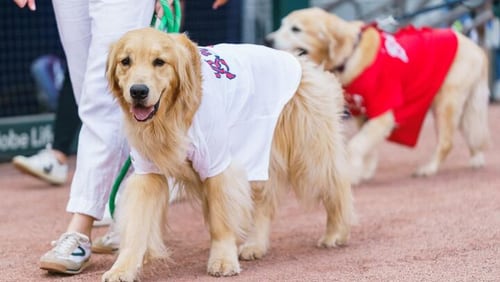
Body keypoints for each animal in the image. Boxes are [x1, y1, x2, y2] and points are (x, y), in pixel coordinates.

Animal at [101, 27, 354, 282]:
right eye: (126, 61)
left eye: (159, 62)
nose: (138, 91)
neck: (172, 116)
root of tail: (304, 63)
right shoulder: (147, 172)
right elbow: (136, 225)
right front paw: (122, 268)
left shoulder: (217, 164)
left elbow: (220, 221)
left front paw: (222, 260)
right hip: (259, 152)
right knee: (264, 201)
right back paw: (255, 245)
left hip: (310, 152)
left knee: (337, 185)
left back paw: (336, 232)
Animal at [268, 7, 490, 185]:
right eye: (282, 25)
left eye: (296, 29)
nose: (267, 39)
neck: (350, 54)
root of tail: (476, 48)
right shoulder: (363, 115)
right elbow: (368, 147)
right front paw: (365, 172)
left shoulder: (383, 114)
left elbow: (356, 145)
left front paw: (353, 173)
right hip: (465, 105)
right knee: (473, 130)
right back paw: (477, 158)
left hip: (446, 103)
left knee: (447, 142)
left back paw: (429, 168)